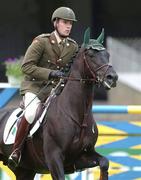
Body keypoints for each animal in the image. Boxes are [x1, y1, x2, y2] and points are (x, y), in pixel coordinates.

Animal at [0, 28, 117, 180]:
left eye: (107, 54)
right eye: (91, 55)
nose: (112, 78)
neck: (77, 114)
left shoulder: (80, 157)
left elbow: (104, 162)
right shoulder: (54, 158)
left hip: (25, 170)